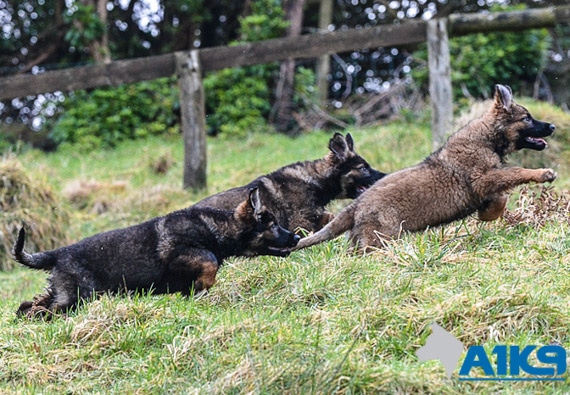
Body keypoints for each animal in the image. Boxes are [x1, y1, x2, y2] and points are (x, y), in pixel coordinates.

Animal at [12, 186, 298, 318]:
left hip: (62, 293)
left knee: (31, 304)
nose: (296, 236)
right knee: (41, 310)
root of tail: (59, 253)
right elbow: (210, 261)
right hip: (76, 298)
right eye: (273, 226)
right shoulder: (181, 253)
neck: (216, 228)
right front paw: (204, 284)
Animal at [292, 85, 556, 252]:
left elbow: (500, 199)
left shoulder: (485, 184)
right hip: (379, 237)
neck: (488, 137)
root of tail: (356, 204)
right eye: (527, 119)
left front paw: (487, 214)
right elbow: (516, 173)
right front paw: (543, 173)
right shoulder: (482, 179)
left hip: (365, 237)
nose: (552, 126)